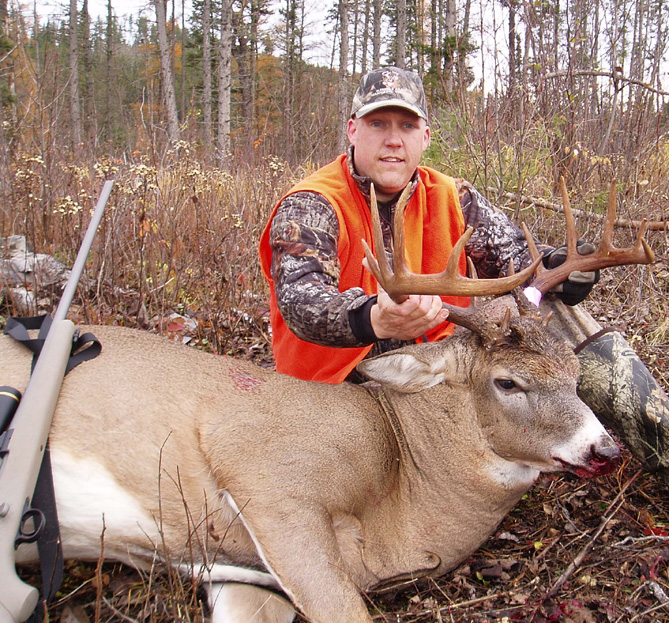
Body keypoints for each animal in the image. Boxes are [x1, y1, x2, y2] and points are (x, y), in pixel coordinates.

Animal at [3, 180, 654, 623]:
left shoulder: (236, 571)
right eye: (508, 382)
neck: (401, 487)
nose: (604, 448)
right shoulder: (266, 471)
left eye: (574, 372)